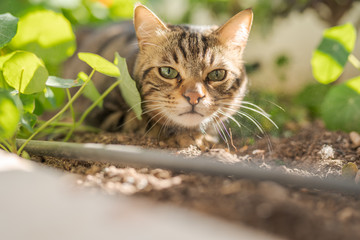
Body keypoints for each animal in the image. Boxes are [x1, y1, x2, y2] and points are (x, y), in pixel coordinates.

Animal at [62, 3, 253, 149]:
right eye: (168, 72)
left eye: (217, 74)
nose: (194, 96)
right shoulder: (100, 112)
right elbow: (144, 122)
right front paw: (188, 136)